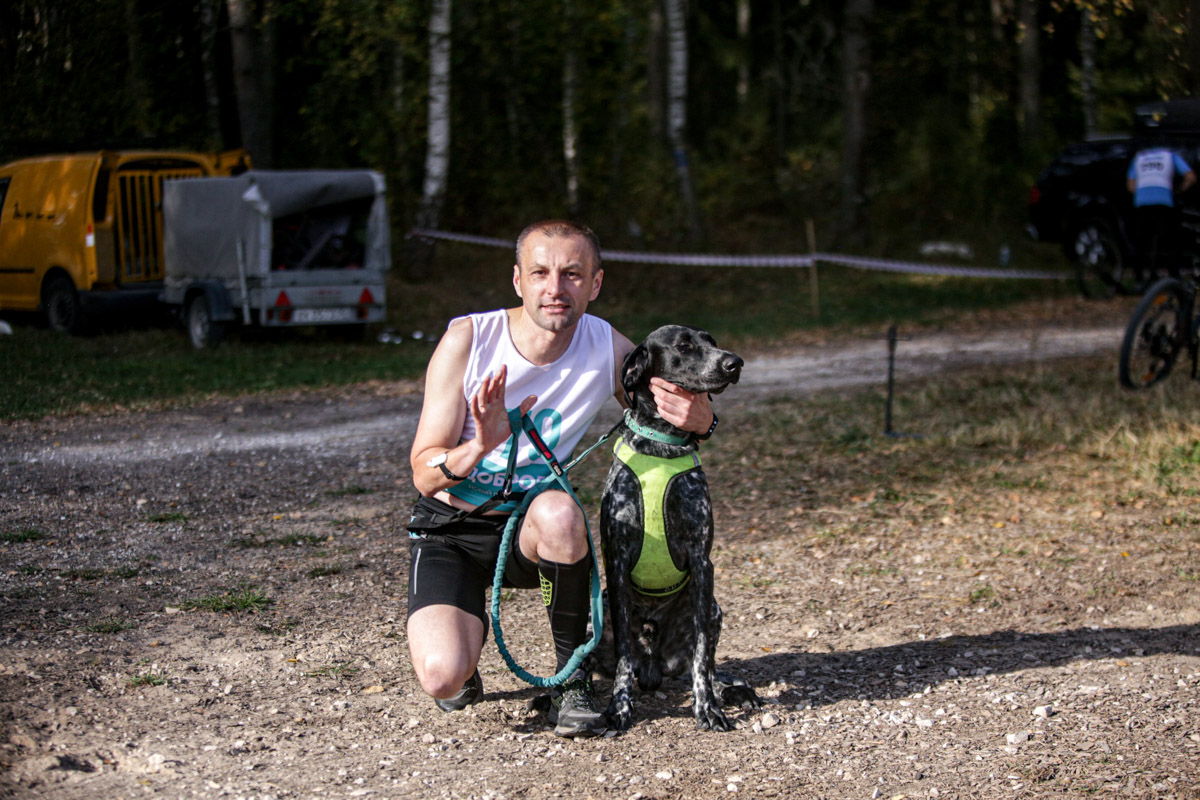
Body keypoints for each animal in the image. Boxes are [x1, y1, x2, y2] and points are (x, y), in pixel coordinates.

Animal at [595, 326, 763, 734]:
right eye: (683, 344)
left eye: (711, 340)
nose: (734, 362)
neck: (662, 446)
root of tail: (655, 669)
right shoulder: (616, 565)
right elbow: (622, 656)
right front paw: (619, 708)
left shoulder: (703, 564)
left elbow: (702, 657)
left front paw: (708, 708)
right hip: (600, 608)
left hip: (714, 608)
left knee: (709, 667)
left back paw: (734, 692)